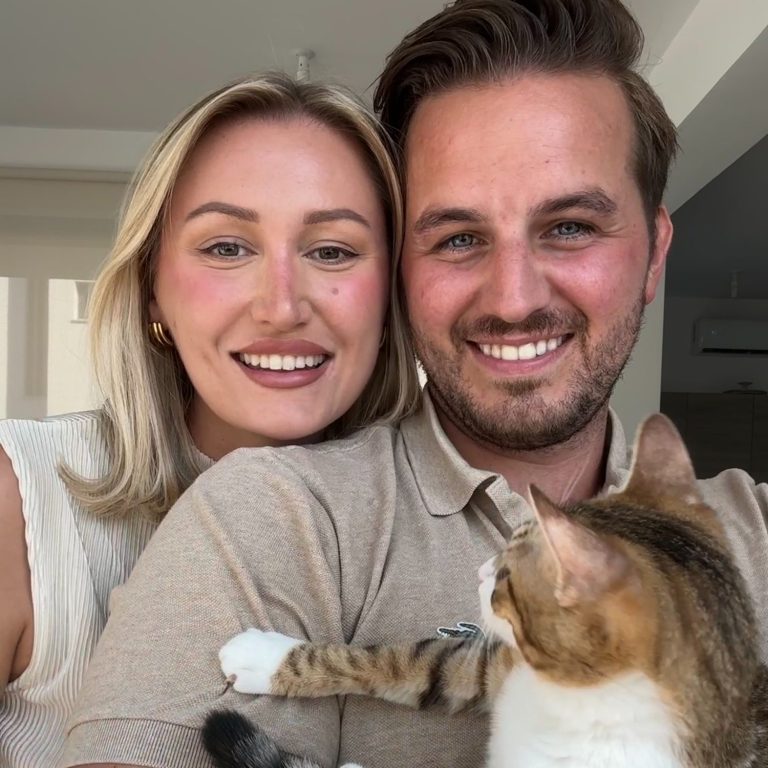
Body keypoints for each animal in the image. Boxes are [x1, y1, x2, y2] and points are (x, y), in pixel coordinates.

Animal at [203, 414, 768, 767]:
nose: (479, 571)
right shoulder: (500, 665)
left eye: (506, 578)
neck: (576, 701)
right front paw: (265, 657)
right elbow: (411, 659)